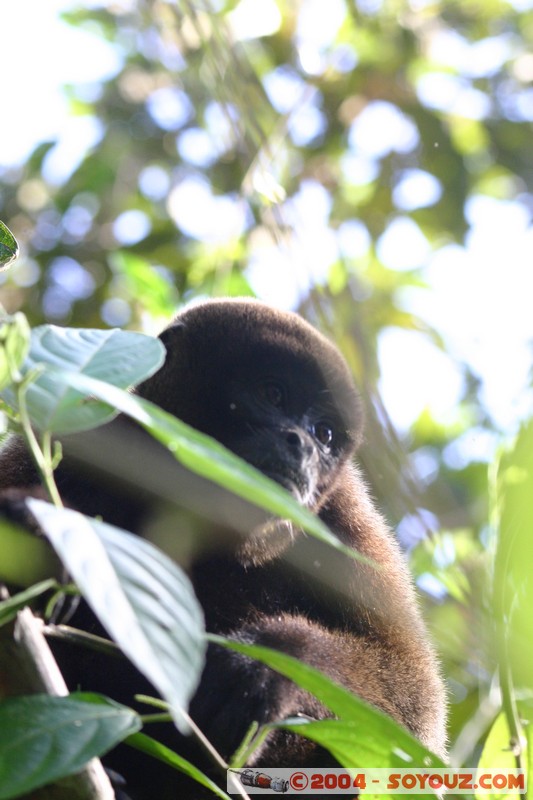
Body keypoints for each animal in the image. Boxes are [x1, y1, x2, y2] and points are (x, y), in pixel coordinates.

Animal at [0, 299, 447, 799]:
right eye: (272, 393)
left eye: (325, 433)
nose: (302, 445)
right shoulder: (90, 436)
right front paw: (33, 530)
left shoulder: (347, 524)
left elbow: (416, 708)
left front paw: (270, 664)